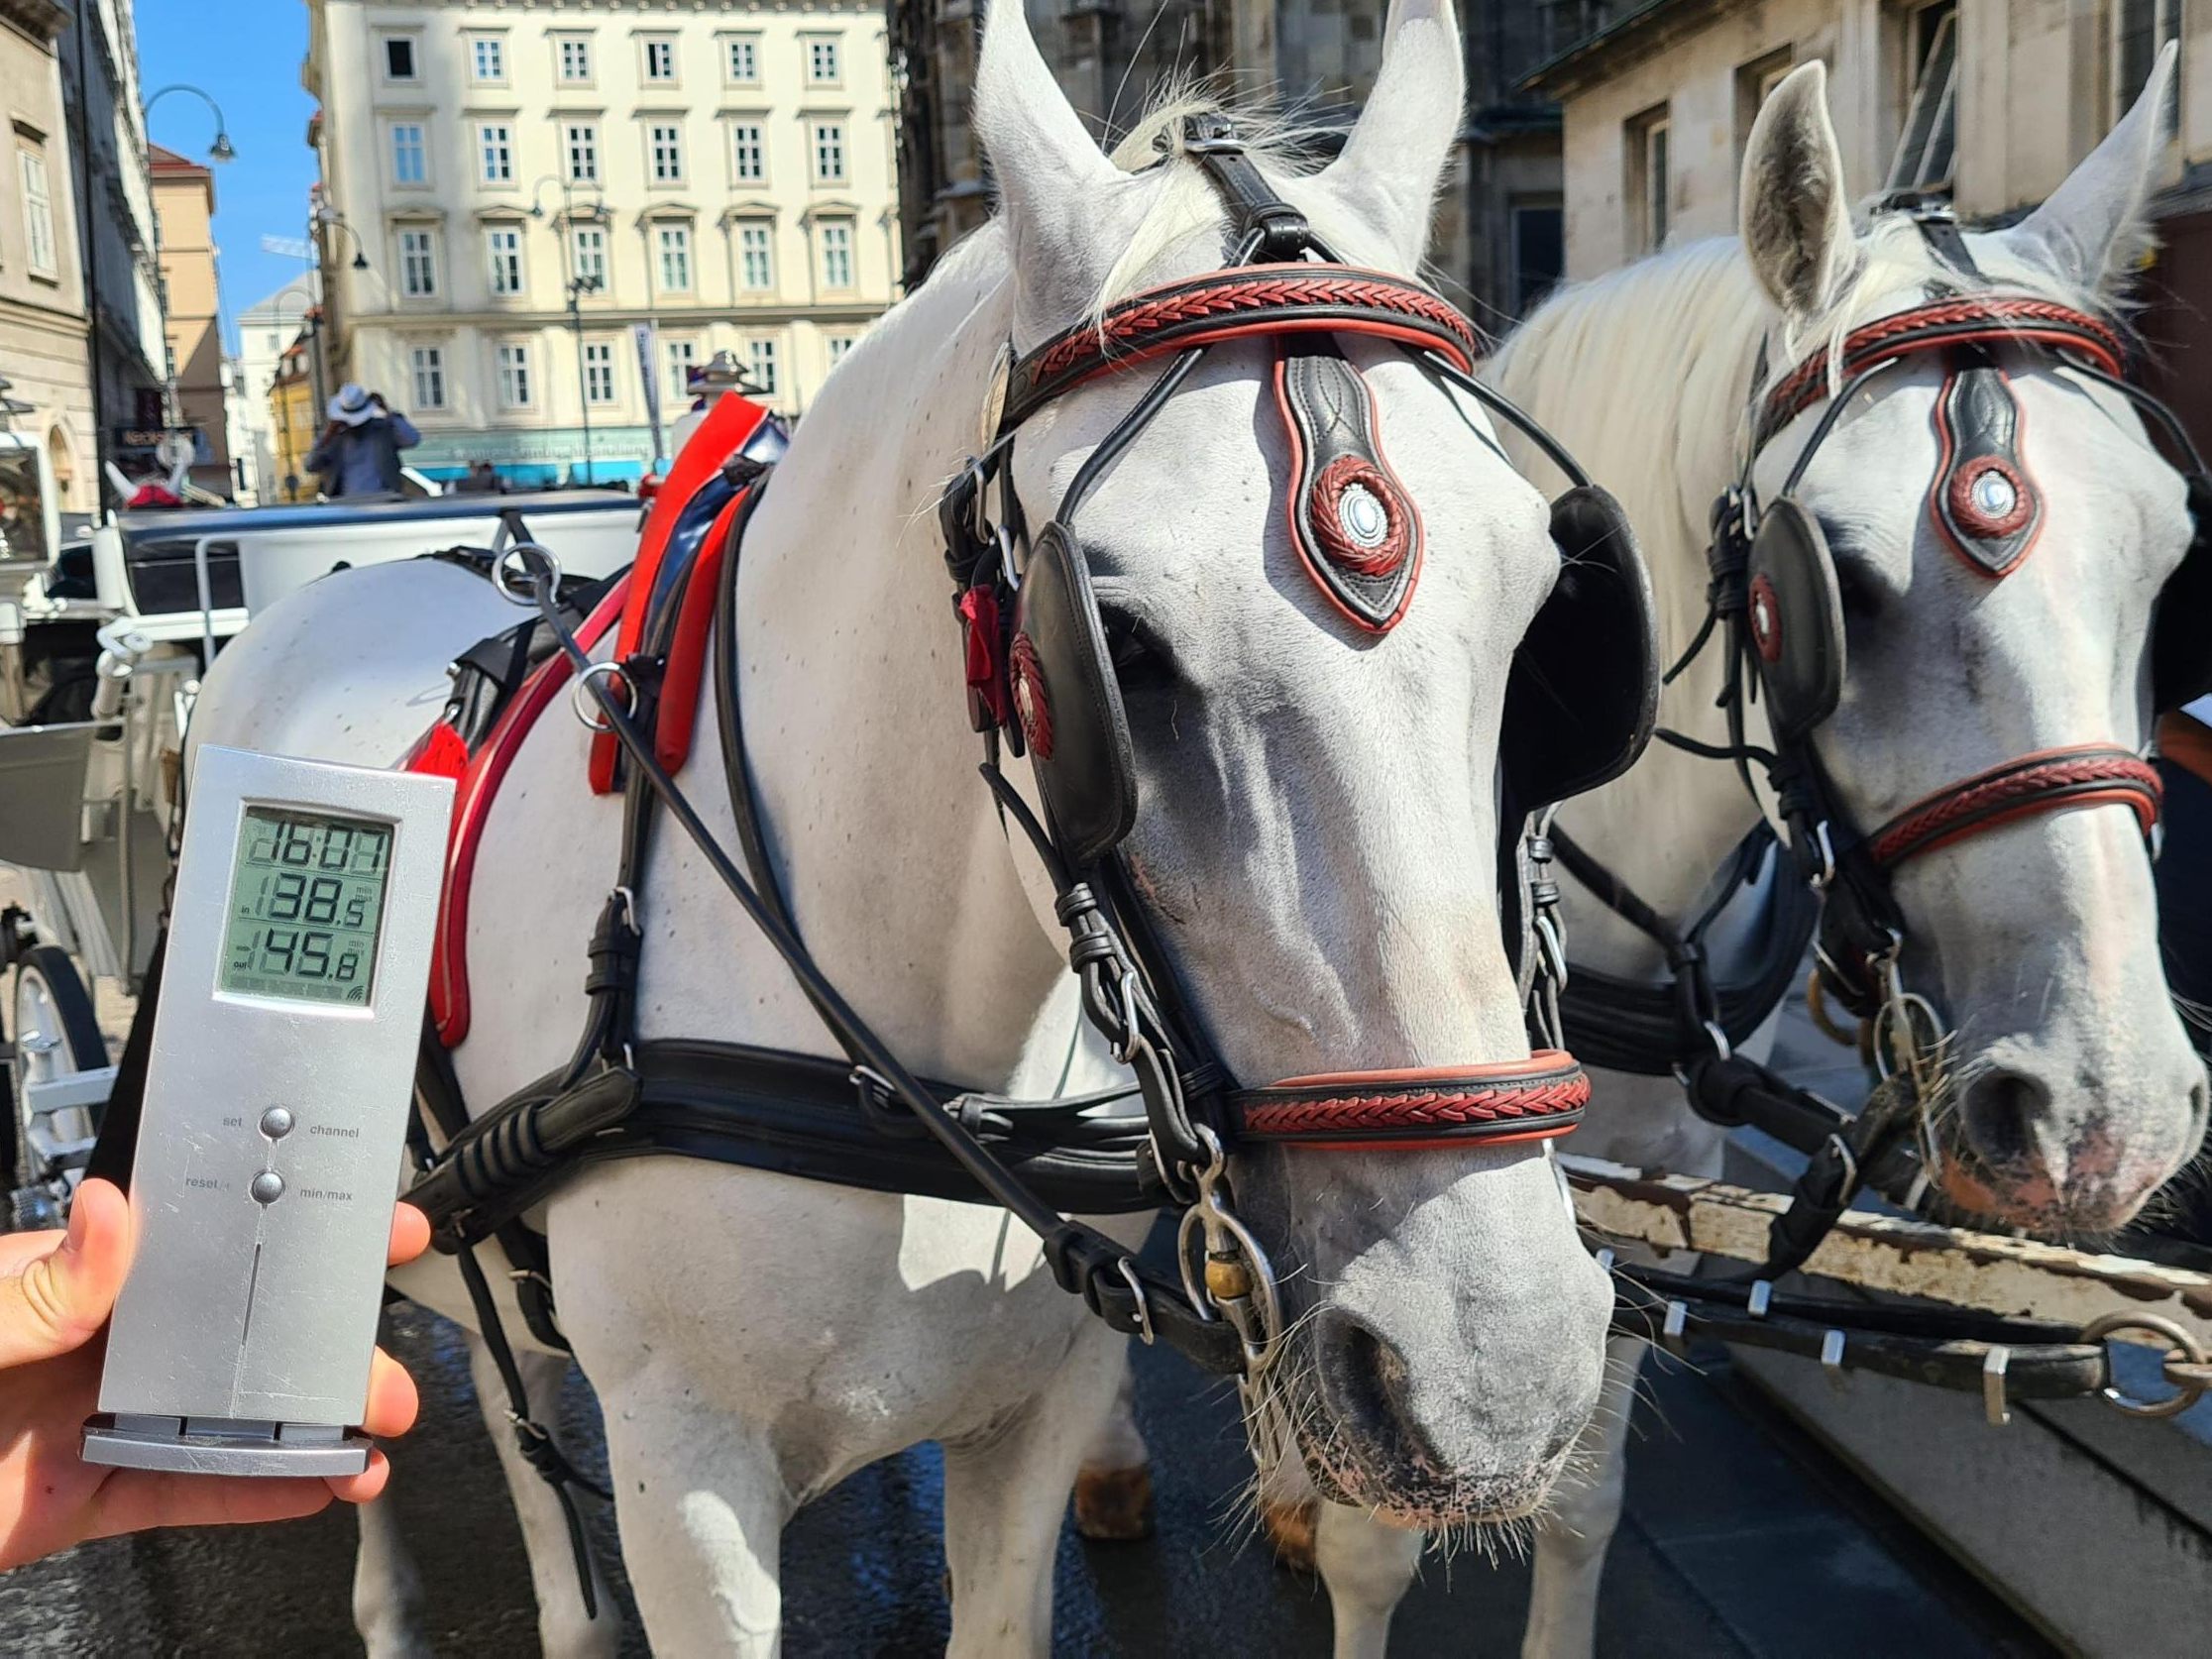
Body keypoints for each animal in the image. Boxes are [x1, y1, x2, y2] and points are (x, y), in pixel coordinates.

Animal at [185, 0, 1627, 1654]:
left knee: (506, 1376)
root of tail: (338, 588)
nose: (1495, 1367)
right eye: (1117, 650)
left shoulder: (1032, 1412)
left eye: (1549, 621)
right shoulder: (687, 1482)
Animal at [1229, 45, 2212, 1654]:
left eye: (2171, 561)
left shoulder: (1638, 1185)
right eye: (1838, 585)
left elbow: (1582, 1498)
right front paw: (1324, 1518)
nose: (2103, 1114)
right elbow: (1377, 1526)